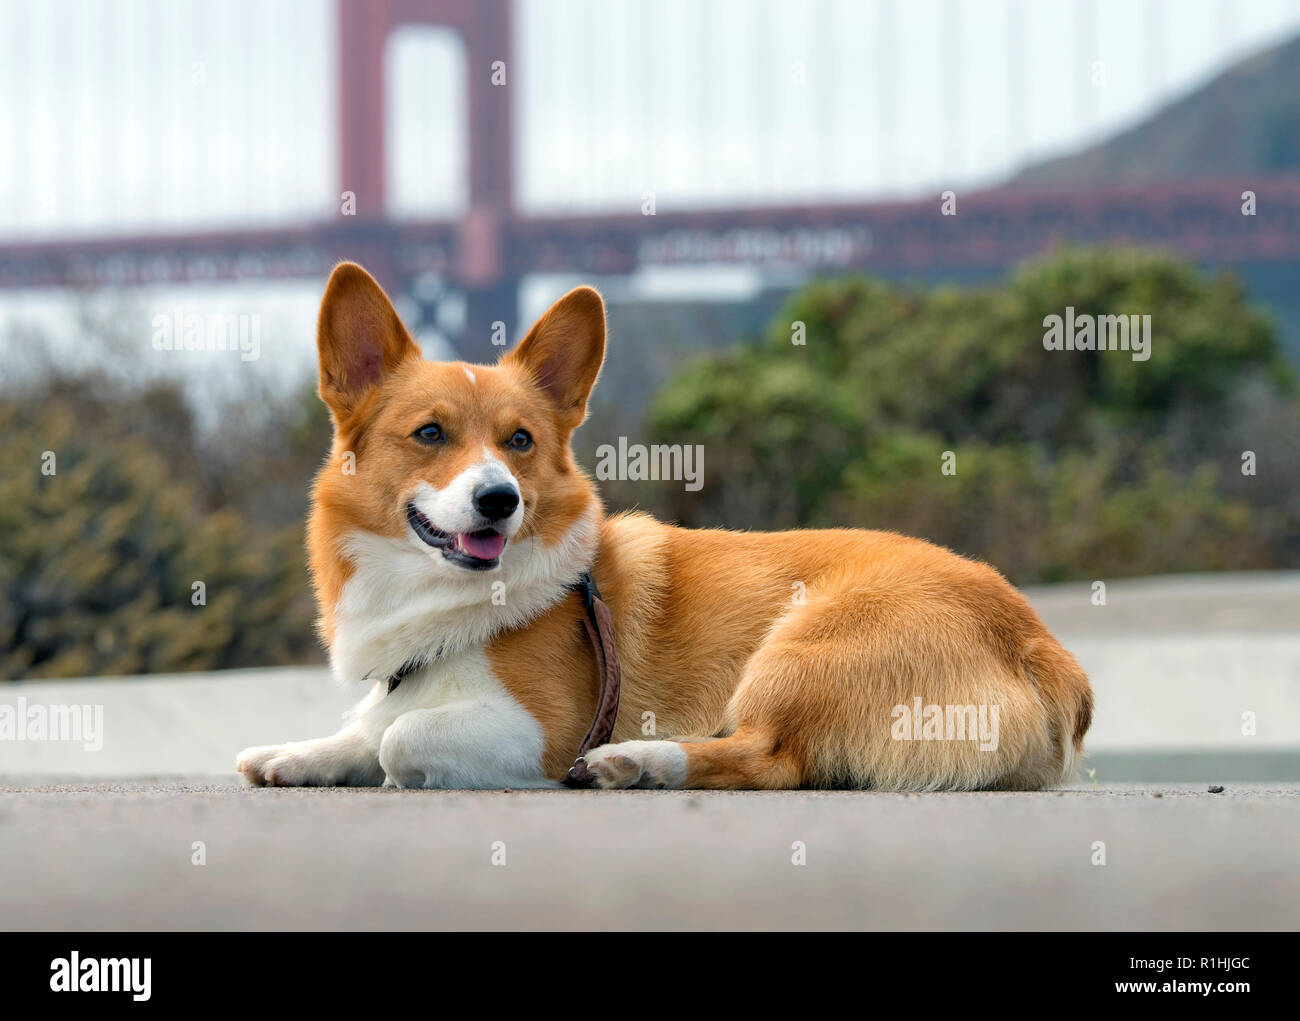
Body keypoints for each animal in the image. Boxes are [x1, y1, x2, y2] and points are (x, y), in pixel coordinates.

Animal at [236, 261, 1086, 790]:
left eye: (520, 442)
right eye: (430, 433)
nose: (500, 499)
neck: (439, 605)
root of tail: (1040, 644)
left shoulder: (540, 725)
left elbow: (396, 737)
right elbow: (360, 727)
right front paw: (295, 754)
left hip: (797, 647)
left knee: (772, 758)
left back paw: (639, 760)